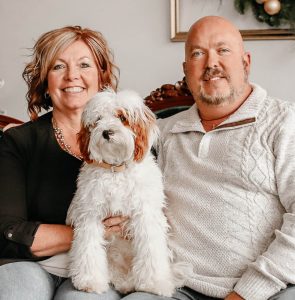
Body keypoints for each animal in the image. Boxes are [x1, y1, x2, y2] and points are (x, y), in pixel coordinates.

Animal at [67, 88, 185, 296]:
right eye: (97, 119)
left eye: (122, 117)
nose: (106, 132)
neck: (116, 169)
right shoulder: (90, 215)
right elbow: (88, 249)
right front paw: (90, 281)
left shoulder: (146, 215)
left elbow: (151, 250)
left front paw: (155, 283)